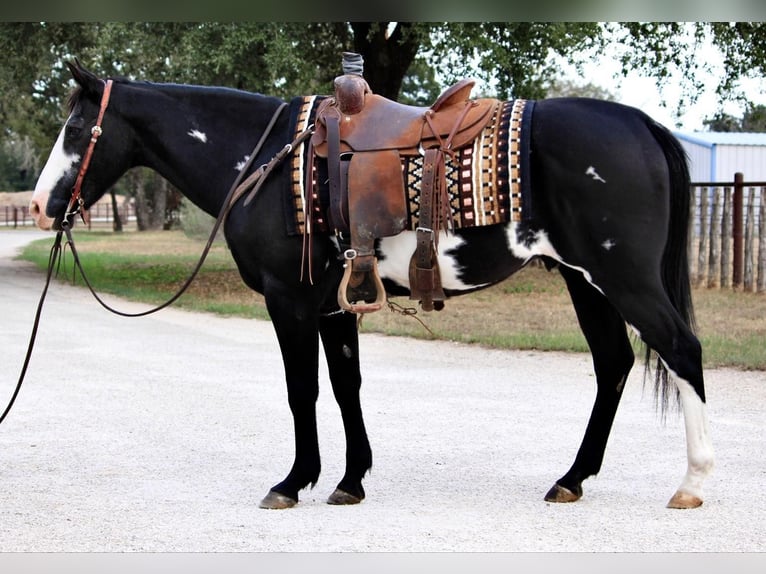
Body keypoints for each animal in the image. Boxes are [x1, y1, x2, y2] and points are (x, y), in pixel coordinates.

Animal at [30, 63, 712, 510]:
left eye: (76, 129)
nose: (38, 206)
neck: (266, 158)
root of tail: (642, 124)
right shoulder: (333, 307)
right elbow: (345, 385)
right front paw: (350, 480)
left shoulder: (289, 300)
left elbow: (302, 390)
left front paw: (293, 481)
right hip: (584, 282)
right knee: (613, 364)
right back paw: (572, 478)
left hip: (621, 277)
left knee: (681, 351)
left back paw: (692, 483)